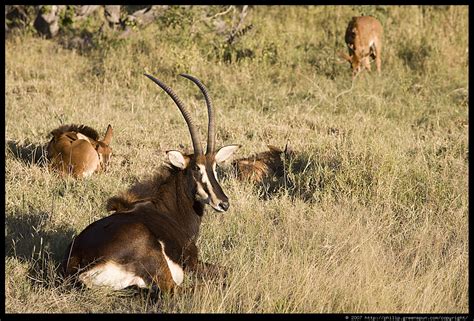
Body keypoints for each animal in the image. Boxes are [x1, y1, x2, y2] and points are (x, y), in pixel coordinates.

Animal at [62, 74, 241, 294]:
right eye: (196, 168)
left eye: (215, 166)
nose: (223, 203)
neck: (169, 210)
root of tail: (78, 265)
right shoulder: (192, 262)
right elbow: (228, 270)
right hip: (155, 257)